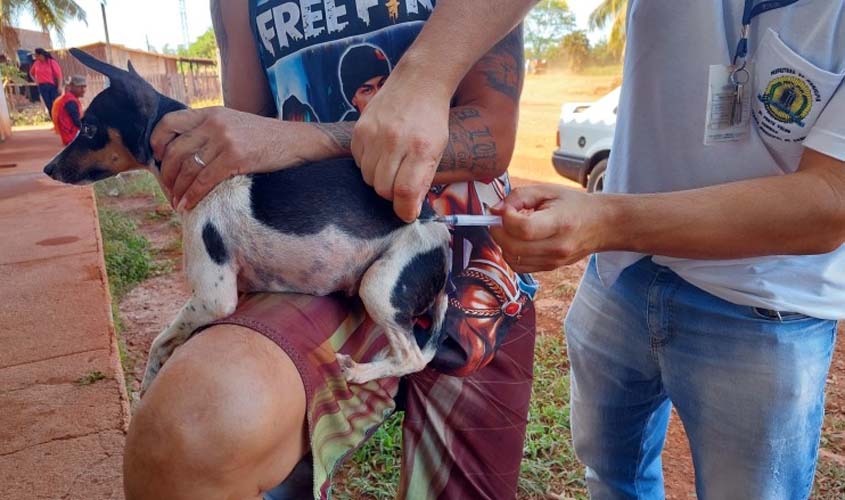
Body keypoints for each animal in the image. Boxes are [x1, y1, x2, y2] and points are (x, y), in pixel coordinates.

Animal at [41, 48, 448, 392]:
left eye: (88, 128)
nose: (48, 169)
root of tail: (443, 242)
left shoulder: (213, 298)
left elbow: (159, 341)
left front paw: (148, 383)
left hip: (379, 286)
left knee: (412, 358)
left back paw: (361, 371)